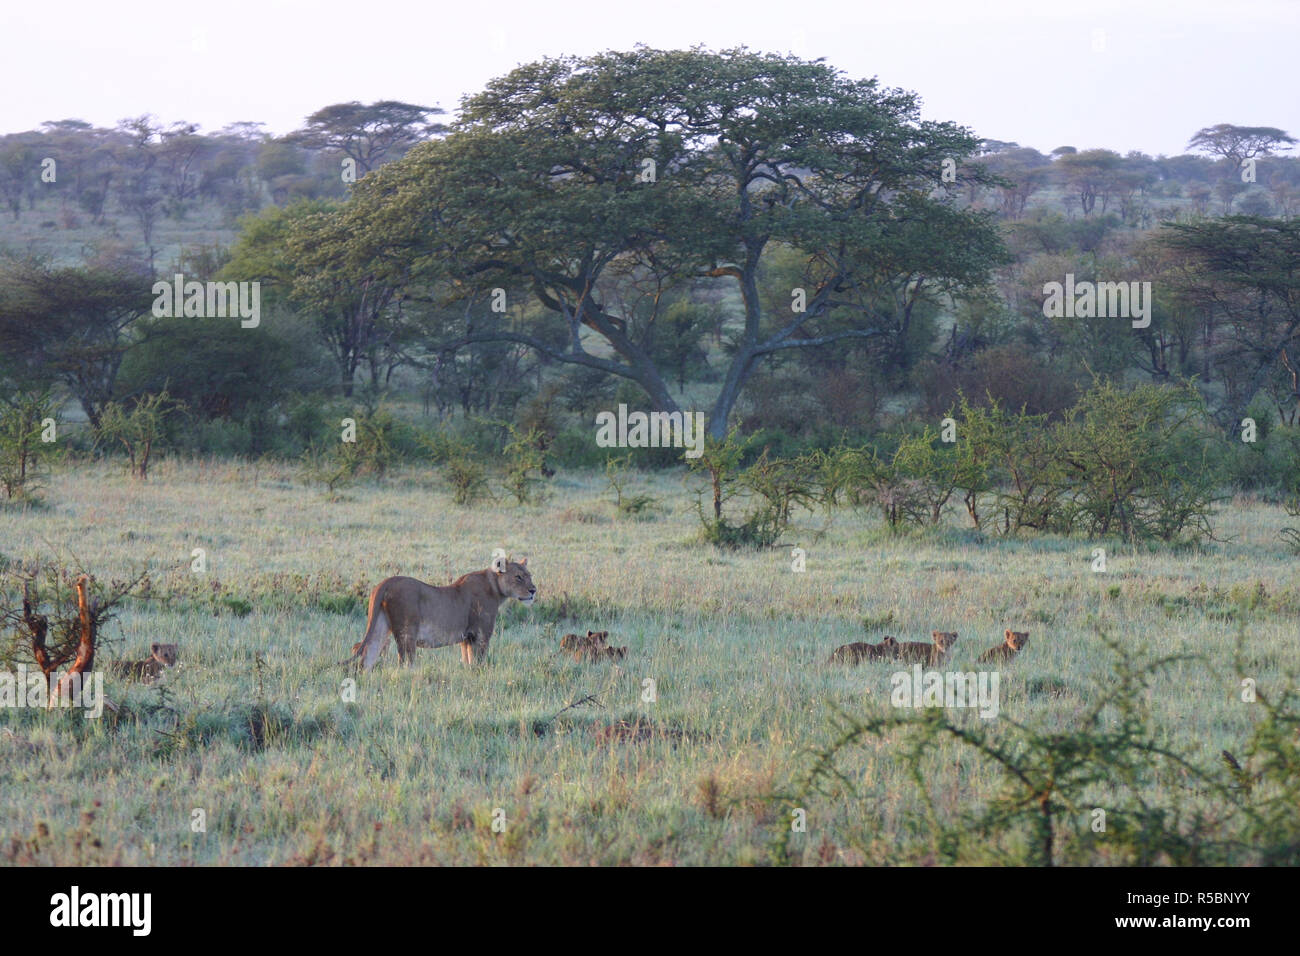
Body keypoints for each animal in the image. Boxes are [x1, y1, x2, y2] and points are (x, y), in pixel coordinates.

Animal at [344, 555, 536, 670]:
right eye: (518, 577)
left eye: (530, 575)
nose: (533, 590)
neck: (495, 588)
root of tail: (385, 583)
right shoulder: (480, 636)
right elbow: (478, 663)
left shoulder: (466, 638)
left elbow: (467, 662)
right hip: (407, 634)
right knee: (404, 662)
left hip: (380, 626)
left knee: (366, 653)